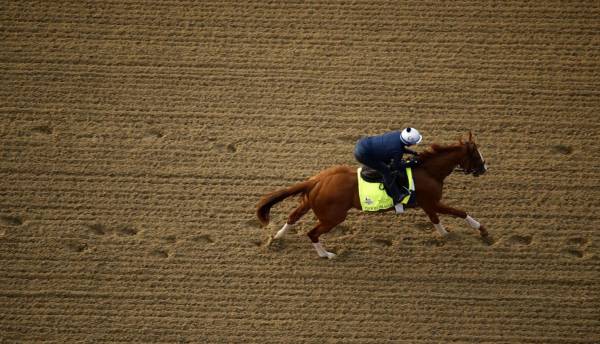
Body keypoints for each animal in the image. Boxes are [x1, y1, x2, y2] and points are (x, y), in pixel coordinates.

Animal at [255, 132, 490, 258]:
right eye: (476, 155)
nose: (484, 168)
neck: (429, 171)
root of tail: (316, 180)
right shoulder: (432, 202)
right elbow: (460, 212)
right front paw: (482, 230)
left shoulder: (428, 204)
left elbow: (436, 220)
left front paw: (445, 235)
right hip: (333, 216)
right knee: (312, 233)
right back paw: (326, 254)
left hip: (310, 203)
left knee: (292, 217)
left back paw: (276, 238)